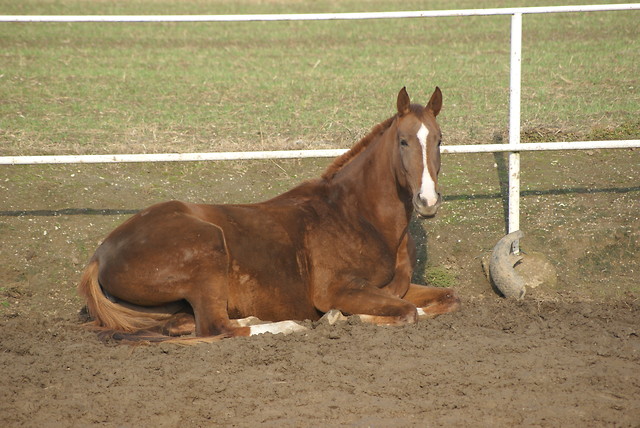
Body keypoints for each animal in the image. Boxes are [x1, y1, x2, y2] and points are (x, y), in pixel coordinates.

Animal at [79, 87, 460, 344]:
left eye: (439, 140)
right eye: (403, 141)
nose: (427, 200)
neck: (359, 217)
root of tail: (100, 255)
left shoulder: (397, 287)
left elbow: (448, 298)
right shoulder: (339, 289)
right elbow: (406, 312)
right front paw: (335, 318)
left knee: (185, 324)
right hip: (207, 250)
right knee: (216, 328)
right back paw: (288, 326)